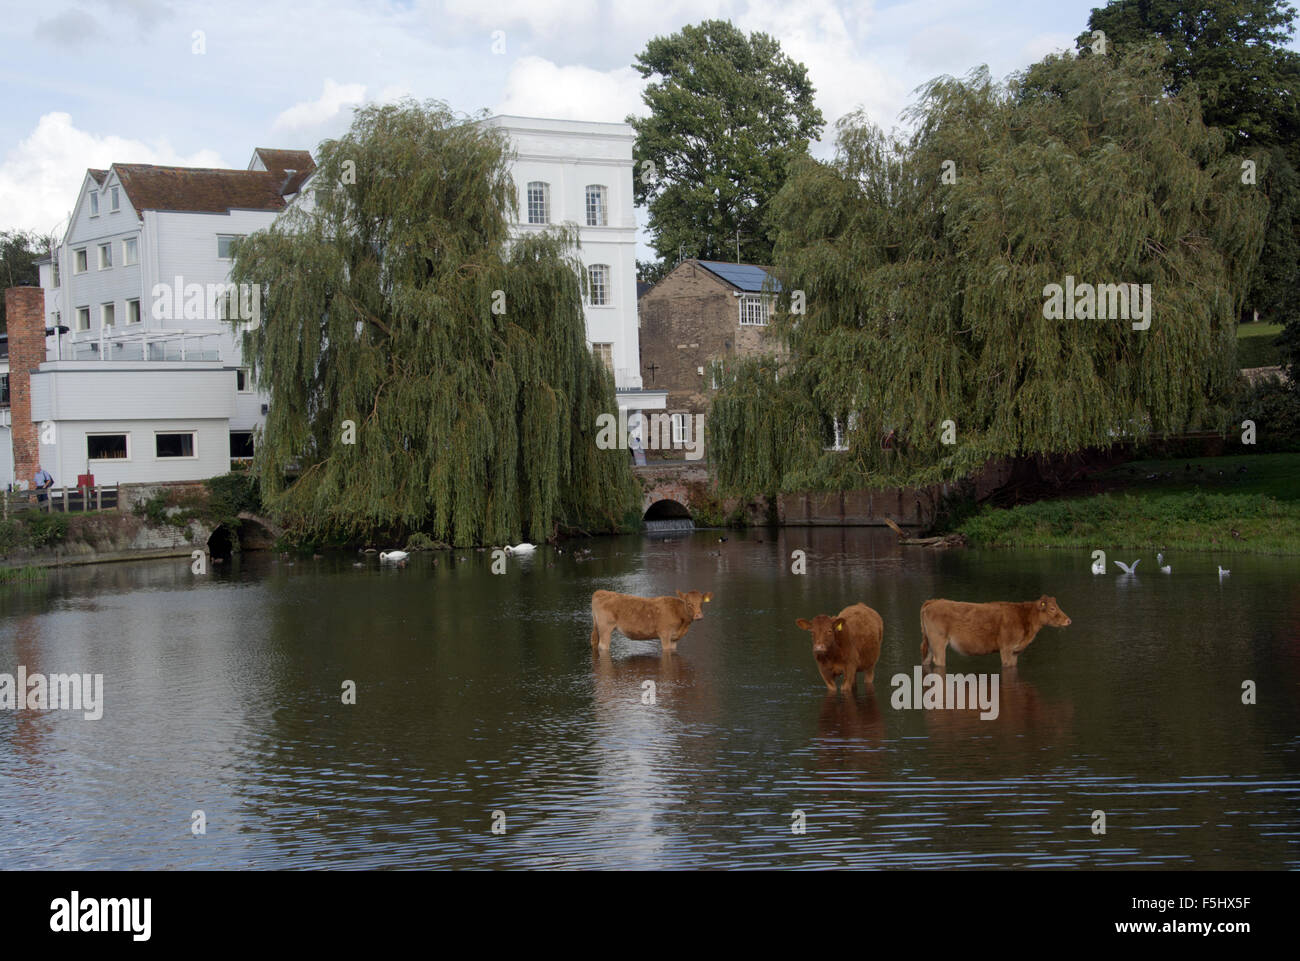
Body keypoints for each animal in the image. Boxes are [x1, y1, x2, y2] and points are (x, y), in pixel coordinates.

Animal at [920, 592, 1071, 671]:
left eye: (1057, 606)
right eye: (1052, 608)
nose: (1068, 620)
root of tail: (933, 601)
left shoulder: (1015, 652)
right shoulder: (1006, 648)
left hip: (930, 644)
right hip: (938, 642)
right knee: (939, 661)